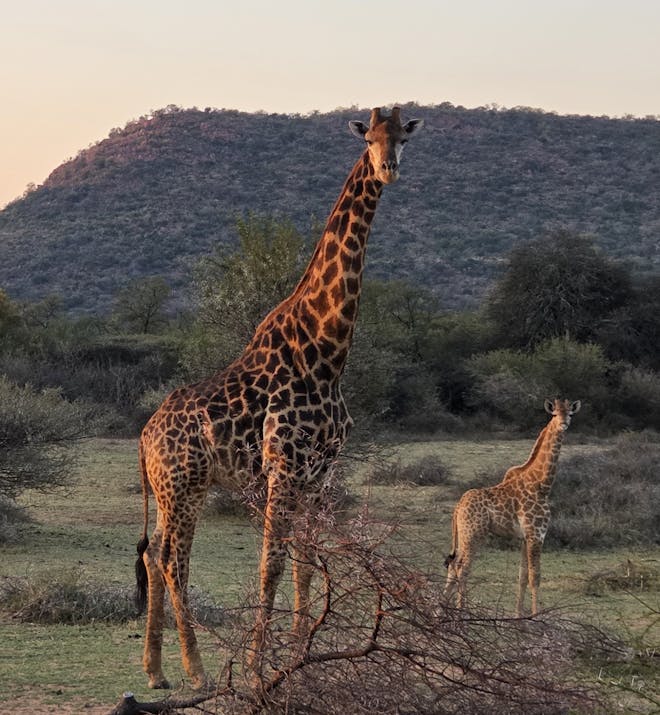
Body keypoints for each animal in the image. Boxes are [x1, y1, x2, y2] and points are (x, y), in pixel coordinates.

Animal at [134, 107, 423, 689]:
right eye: (370, 138)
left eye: (403, 137)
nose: (389, 169)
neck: (327, 353)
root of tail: (144, 437)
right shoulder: (283, 465)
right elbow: (271, 561)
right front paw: (254, 665)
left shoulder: (321, 471)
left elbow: (307, 562)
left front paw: (300, 659)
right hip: (183, 485)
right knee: (174, 561)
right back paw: (197, 670)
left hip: (177, 489)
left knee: (153, 556)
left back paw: (155, 671)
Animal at [443, 398, 581, 616]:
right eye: (554, 414)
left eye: (570, 413)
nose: (564, 423)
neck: (542, 484)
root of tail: (457, 507)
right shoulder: (536, 535)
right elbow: (535, 577)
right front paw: (535, 616)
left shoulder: (525, 537)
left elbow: (522, 576)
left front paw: (518, 615)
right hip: (473, 534)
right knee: (461, 567)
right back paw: (461, 612)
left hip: (463, 534)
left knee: (452, 566)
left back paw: (440, 611)